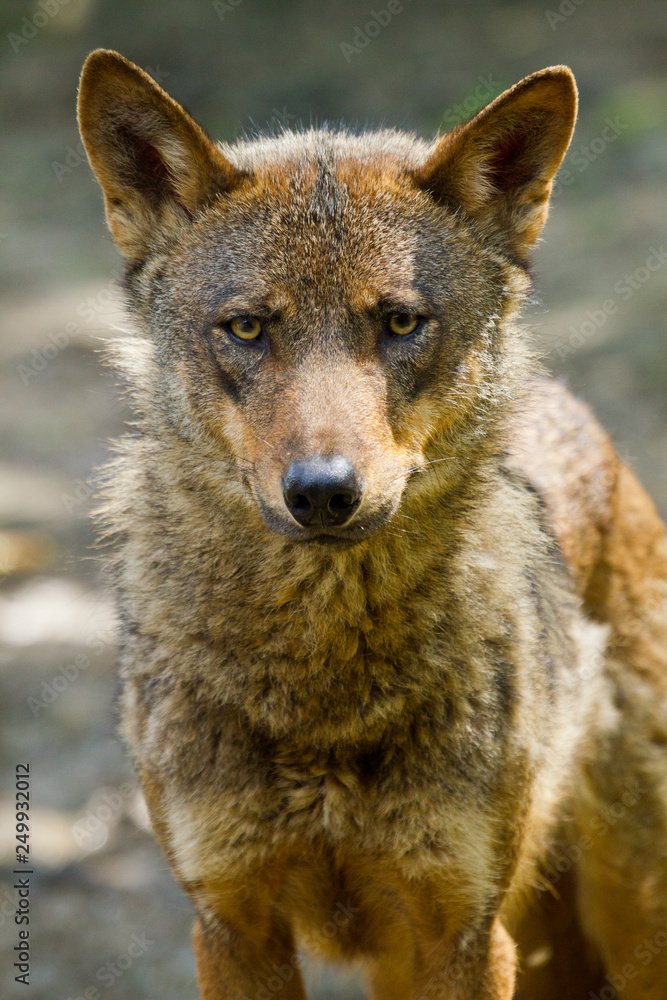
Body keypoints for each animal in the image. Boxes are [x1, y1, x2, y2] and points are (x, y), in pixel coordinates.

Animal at [78, 50, 667, 999]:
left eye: (399, 323)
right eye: (247, 328)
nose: (323, 492)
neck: (324, 690)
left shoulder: (461, 934)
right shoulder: (232, 928)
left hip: (631, 912)